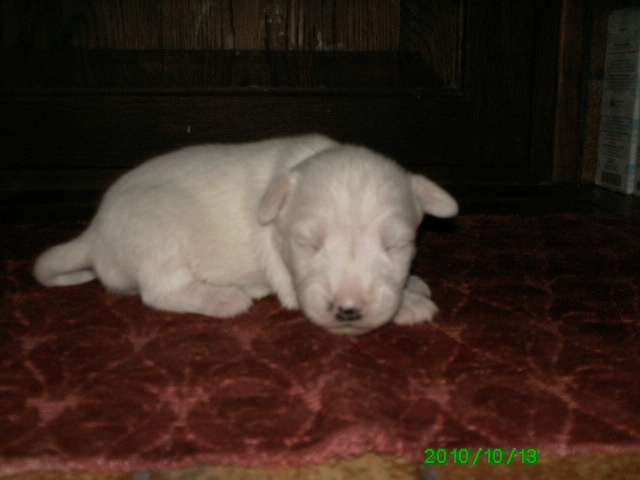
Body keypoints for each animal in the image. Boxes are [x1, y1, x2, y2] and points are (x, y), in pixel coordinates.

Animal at [34, 134, 458, 335]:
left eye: (395, 245)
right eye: (307, 244)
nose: (348, 310)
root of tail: (93, 234)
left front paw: (412, 284)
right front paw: (411, 305)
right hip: (156, 233)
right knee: (161, 291)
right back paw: (224, 298)